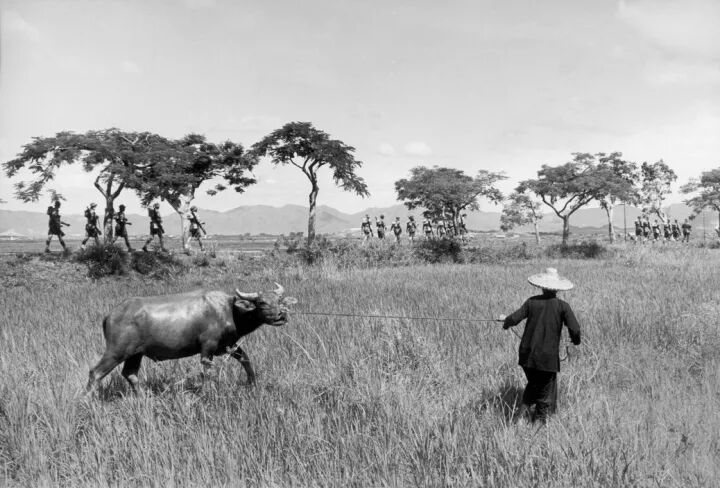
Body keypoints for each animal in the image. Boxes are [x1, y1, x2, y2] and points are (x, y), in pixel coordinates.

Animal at [86, 283, 297, 394]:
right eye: (261, 303)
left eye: (279, 300)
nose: (281, 316)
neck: (230, 310)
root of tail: (110, 315)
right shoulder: (208, 347)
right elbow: (207, 371)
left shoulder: (229, 345)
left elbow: (245, 359)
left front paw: (252, 383)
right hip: (116, 351)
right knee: (95, 373)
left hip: (135, 354)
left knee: (130, 373)